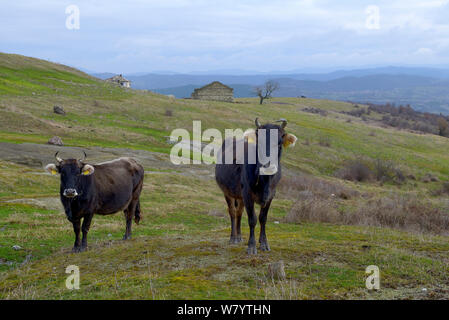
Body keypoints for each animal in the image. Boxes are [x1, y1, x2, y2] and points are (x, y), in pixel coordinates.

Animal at [214, 119, 296, 254]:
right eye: (259, 144)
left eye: (279, 143)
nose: (268, 166)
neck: (265, 181)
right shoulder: (247, 193)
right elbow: (252, 219)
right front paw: (251, 246)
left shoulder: (271, 194)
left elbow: (263, 218)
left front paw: (264, 243)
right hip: (227, 192)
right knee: (232, 212)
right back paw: (233, 238)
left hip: (240, 195)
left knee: (239, 212)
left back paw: (239, 237)